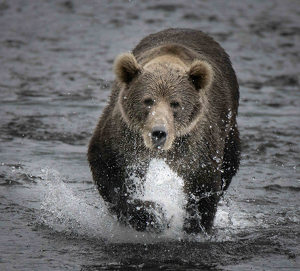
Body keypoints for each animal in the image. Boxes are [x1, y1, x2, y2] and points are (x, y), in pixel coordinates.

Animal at [88, 28, 240, 236]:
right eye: (148, 100)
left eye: (175, 103)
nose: (159, 133)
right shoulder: (123, 134)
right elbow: (109, 170)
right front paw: (152, 215)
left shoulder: (199, 142)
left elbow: (204, 184)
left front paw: (194, 227)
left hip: (229, 127)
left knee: (230, 163)